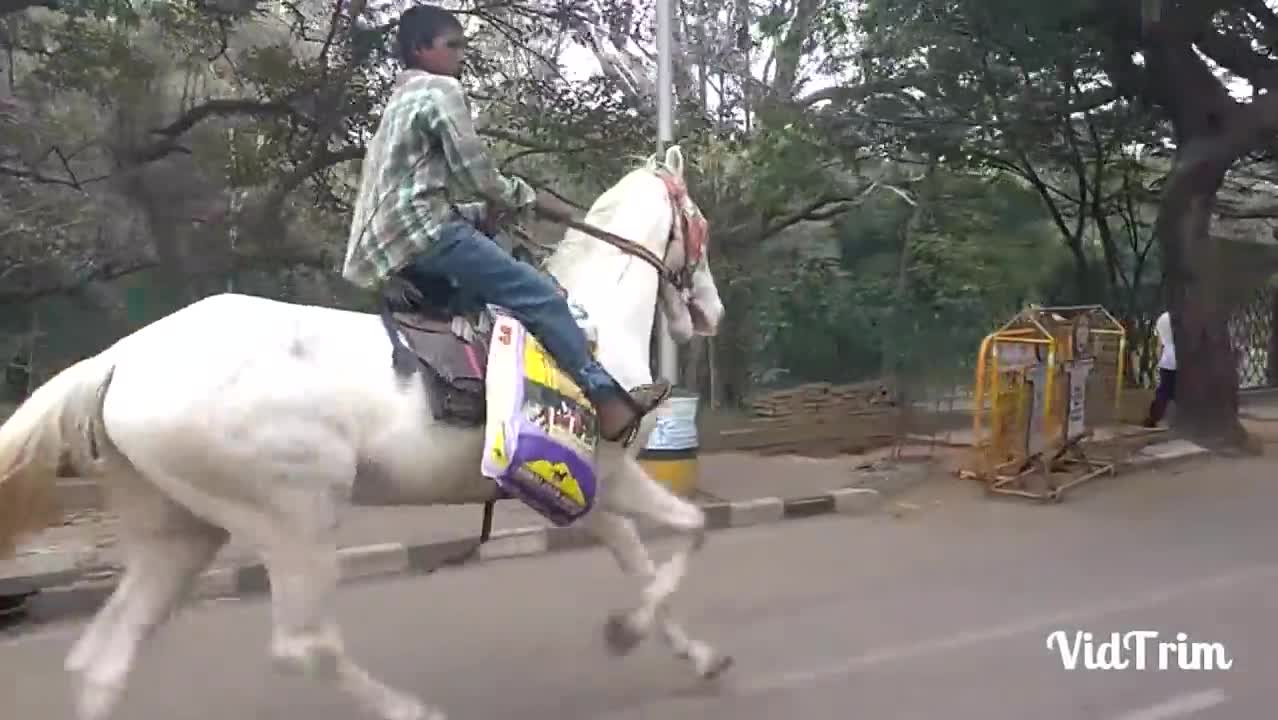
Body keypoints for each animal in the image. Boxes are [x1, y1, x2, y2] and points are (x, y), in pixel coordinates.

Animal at [0, 146, 725, 720]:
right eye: (699, 225)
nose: (711, 312)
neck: (588, 324)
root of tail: (121, 358)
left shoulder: (586, 492)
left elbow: (644, 564)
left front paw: (686, 650)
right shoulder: (614, 477)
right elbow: (691, 530)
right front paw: (631, 631)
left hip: (180, 535)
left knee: (104, 661)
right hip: (296, 519)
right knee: (304, 646)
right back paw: (410, 711)